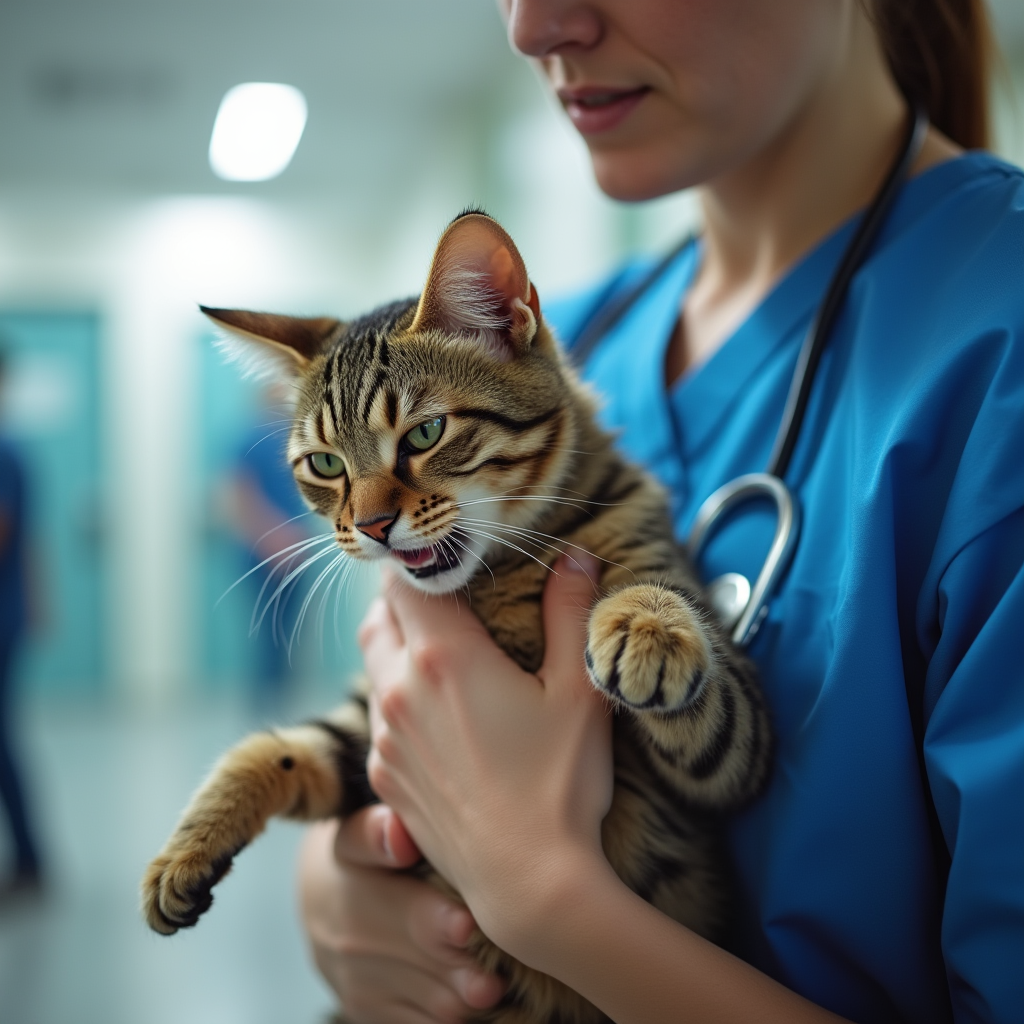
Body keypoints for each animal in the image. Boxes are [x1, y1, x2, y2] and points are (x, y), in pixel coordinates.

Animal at [142, 209, 770, 1024]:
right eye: (326, 466)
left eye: (424, 434)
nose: (370, 526)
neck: (495, 578)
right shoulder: (368, 732)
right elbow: (274, 750)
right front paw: (184, 851)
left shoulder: (735, 755)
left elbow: (669, 624)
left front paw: (648, 627)